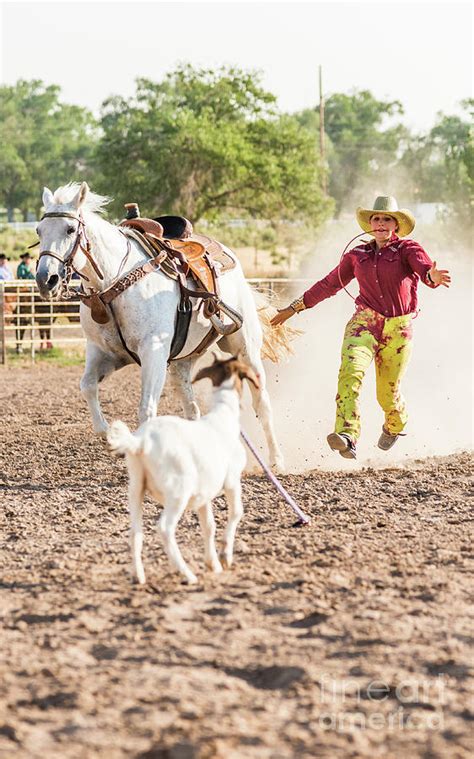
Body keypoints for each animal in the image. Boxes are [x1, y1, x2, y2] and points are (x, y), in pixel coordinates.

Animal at [35, 183, 286, 470]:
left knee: (262, 403)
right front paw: (110, 435)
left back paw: (277, 460)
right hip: (182, 362)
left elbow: (146, 409)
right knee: (192, 408)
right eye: (39, 230)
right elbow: (87, 386)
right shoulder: (103, 352)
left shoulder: (153, 351)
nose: (46, 279)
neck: (114, 283)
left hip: (245, 348)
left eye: (70, 229)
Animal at [107, 354, 260, 584]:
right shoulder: (232, 481)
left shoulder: (204, 494)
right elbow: (236, 513)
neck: (222, 416)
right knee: (165, 528)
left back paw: (139, 576)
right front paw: (225, 557)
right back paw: (187, 574)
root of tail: (142, 442)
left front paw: (213, 564)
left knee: (135, 534)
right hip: (177, 492)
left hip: (136, 489)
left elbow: (209, 526)